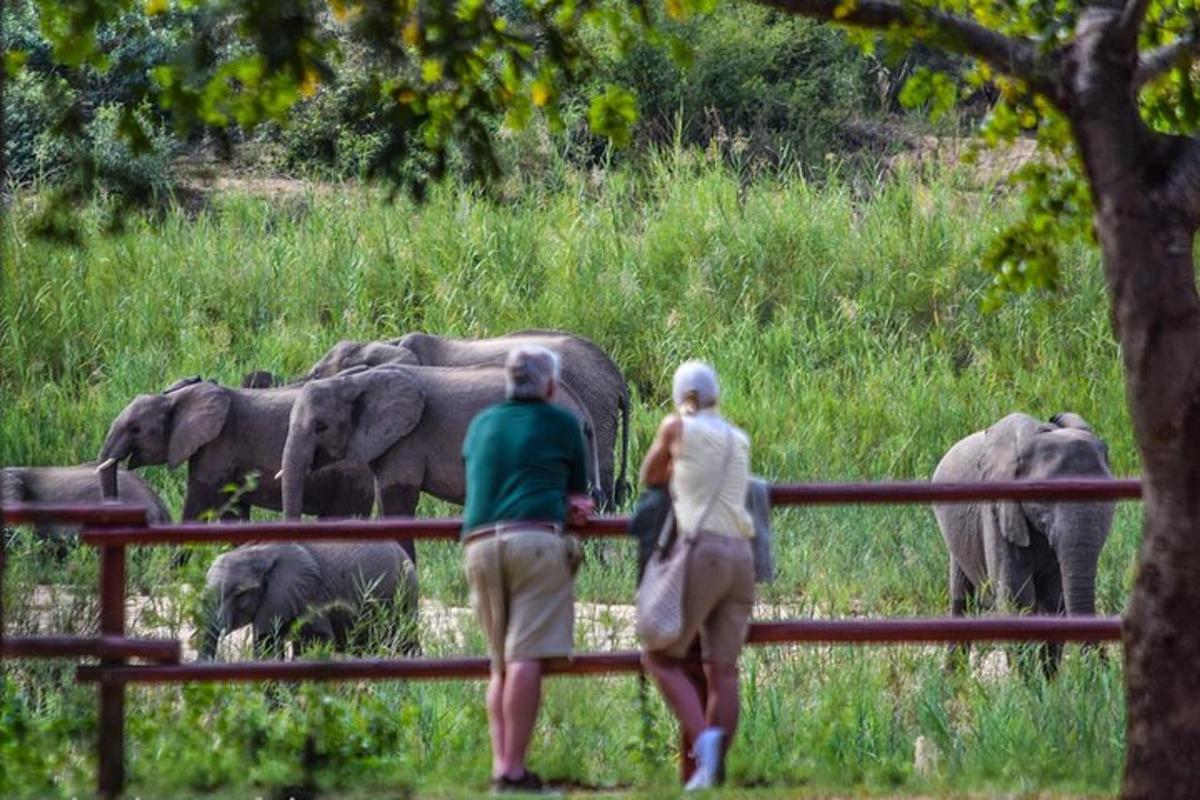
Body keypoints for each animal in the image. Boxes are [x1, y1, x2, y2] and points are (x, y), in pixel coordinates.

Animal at [196, 542, 417, 662]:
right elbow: (266, 644)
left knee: (406, 638)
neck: (261, 551)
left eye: (240, 595)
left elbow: (315, 642)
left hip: (404, 589)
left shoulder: (311, 596)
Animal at [931, 410, 1118, 671]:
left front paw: (1049, 680)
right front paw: (1029, 681)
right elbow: (1016, 598)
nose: (1103, 670)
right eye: (1045, 497)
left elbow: (1054, 600)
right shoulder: (998, 511)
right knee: (962, 601)